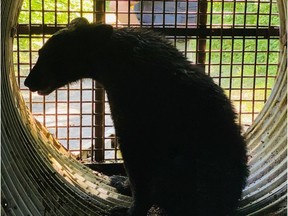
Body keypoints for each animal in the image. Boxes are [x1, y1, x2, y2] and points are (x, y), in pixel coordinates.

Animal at [24, 17, 249, 215]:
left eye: (55, 57)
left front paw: (130, 209)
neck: (113, 57)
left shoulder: (131, 121)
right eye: (40, 52)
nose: (27, 81)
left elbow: (138, 176)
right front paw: (122, 183)